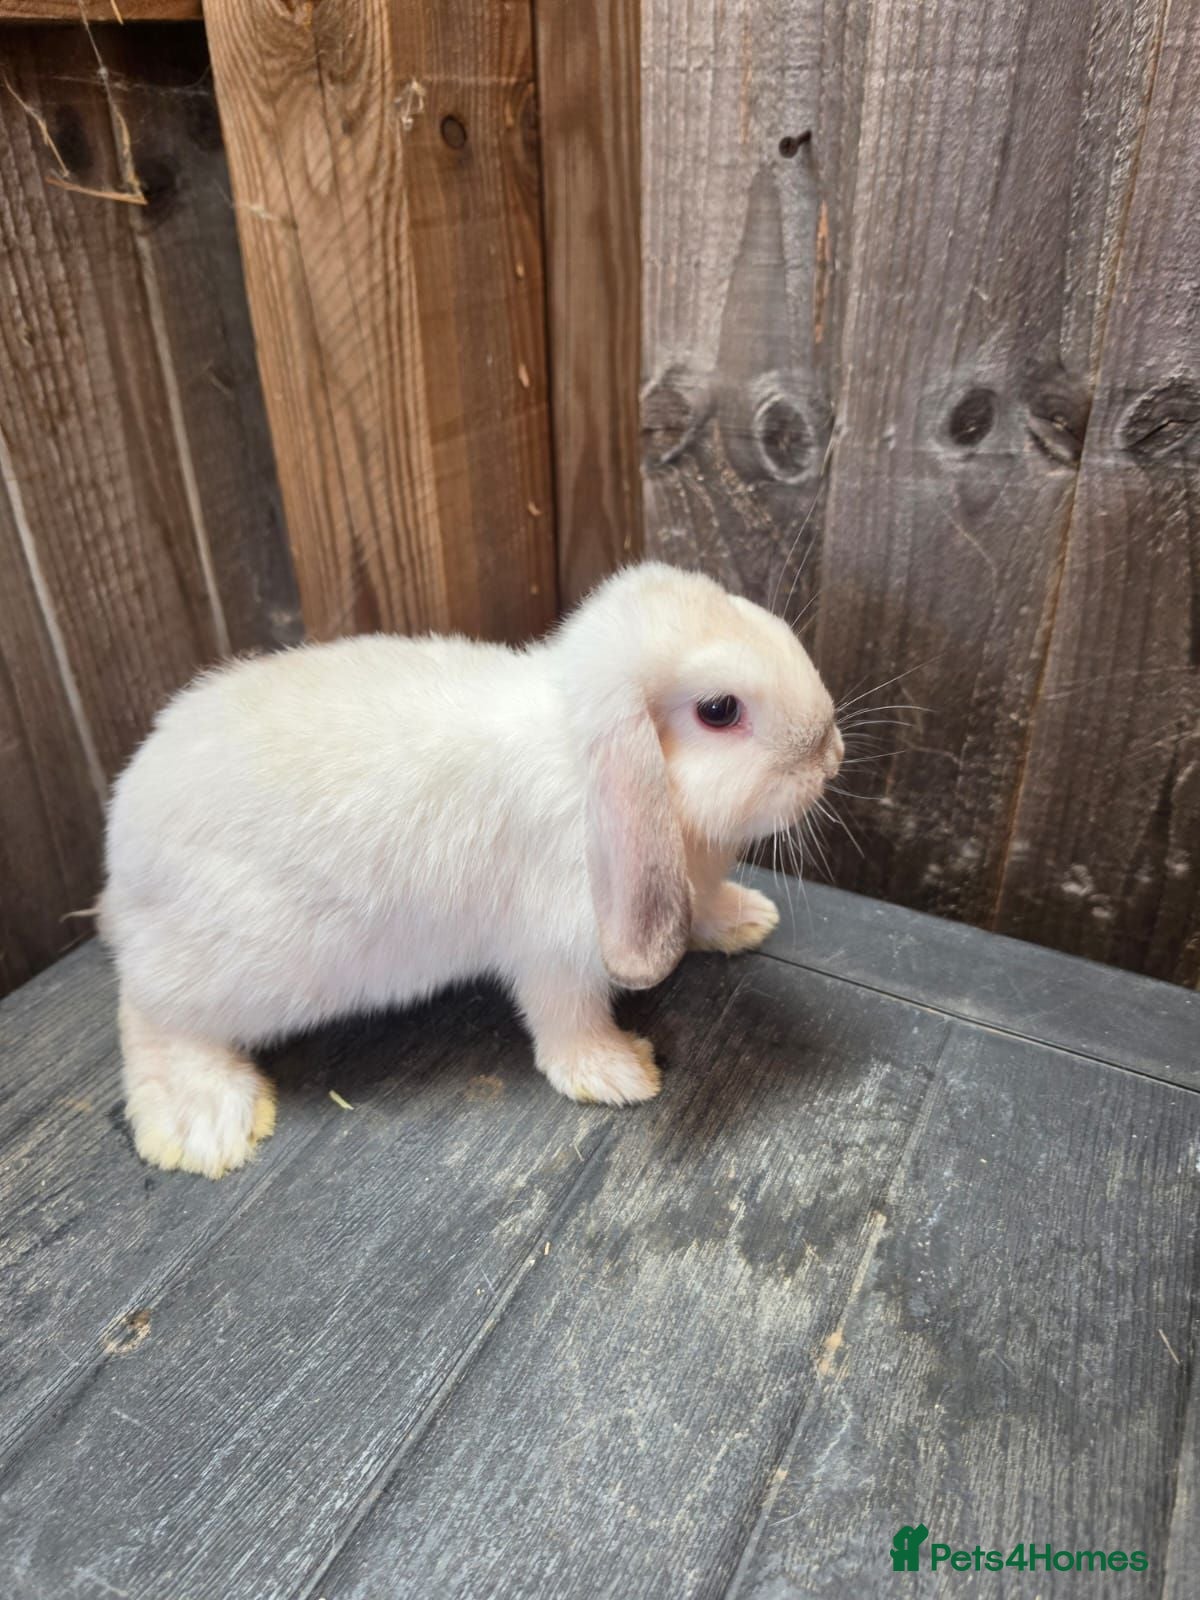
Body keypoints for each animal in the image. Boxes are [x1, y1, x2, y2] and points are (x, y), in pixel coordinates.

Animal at [100, 562, 842, 1178]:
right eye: (719, 710)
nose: (831, 751)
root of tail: (121, 854)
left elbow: (704, 907)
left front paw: (746, 919)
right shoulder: (557, 952)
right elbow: (568, 1021)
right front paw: (619, 1073)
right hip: (232, 974)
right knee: (149, 1012)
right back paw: (203, 1122)